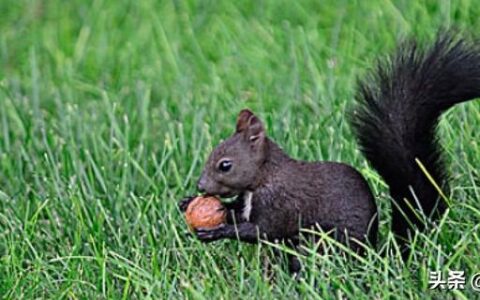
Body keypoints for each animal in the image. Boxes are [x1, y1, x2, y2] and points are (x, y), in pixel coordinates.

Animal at [179, 33, 480, 274]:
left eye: (225, 165)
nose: (201, 186)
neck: (265, 177)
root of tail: (374, 255)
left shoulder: (280, 205)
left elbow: (260, 230)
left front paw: (216, 231)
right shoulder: (248, 202)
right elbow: (236, 214)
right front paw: (188, 202)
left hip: (321, 244)